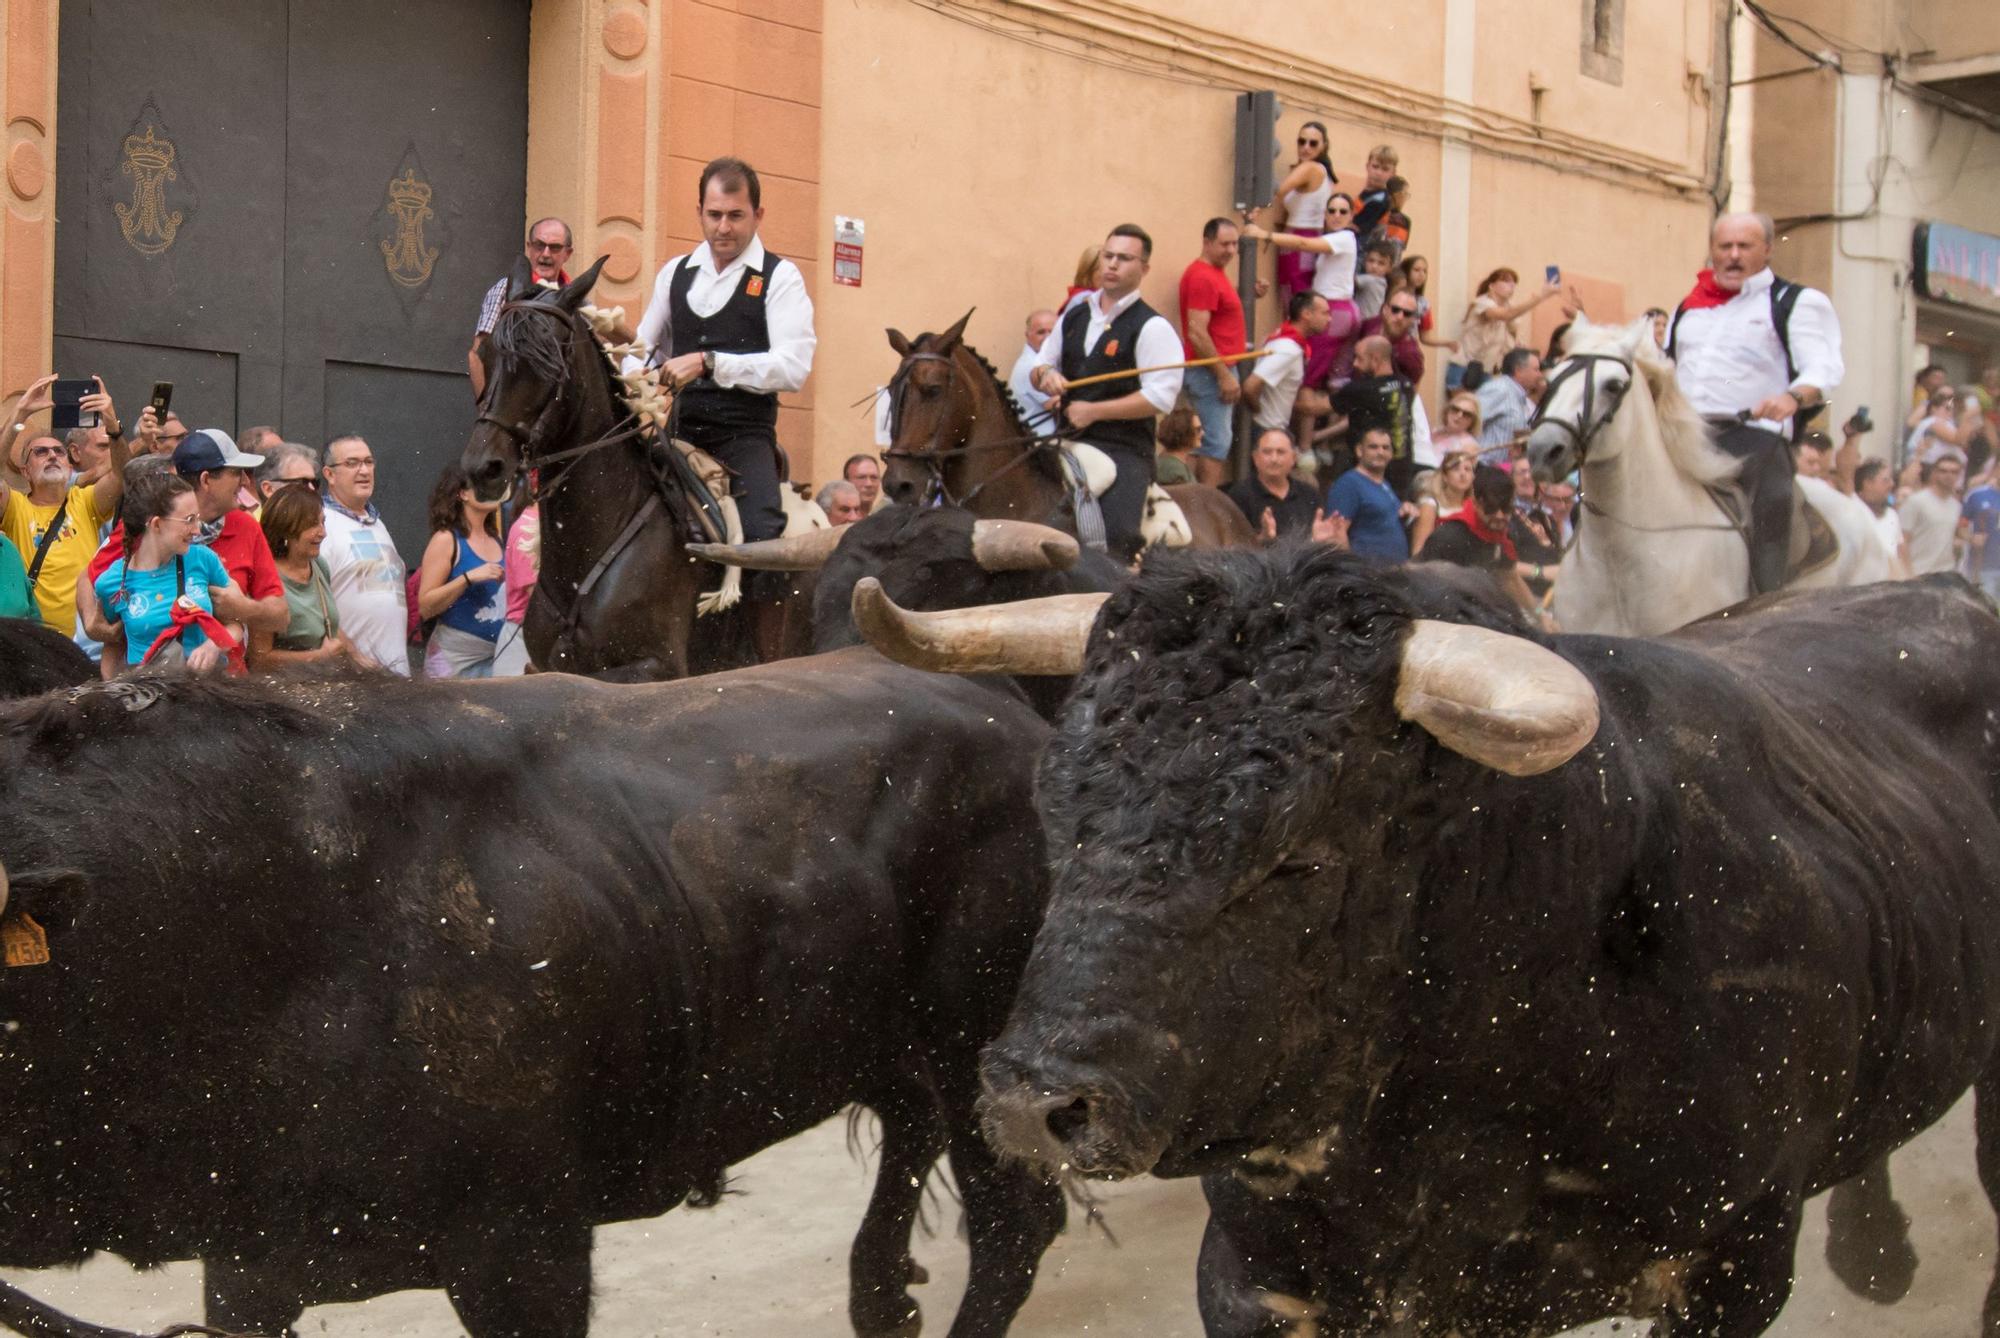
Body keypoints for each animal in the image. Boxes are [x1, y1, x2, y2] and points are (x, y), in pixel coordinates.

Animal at [0, 660, 1064, 1336]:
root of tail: (1007, 708)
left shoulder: (527, 1254)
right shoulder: (249, 1268)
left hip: (982, 1053)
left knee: (1013, 1222)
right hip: (885, 1033)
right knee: (909, 1128)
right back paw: (881, 1298)